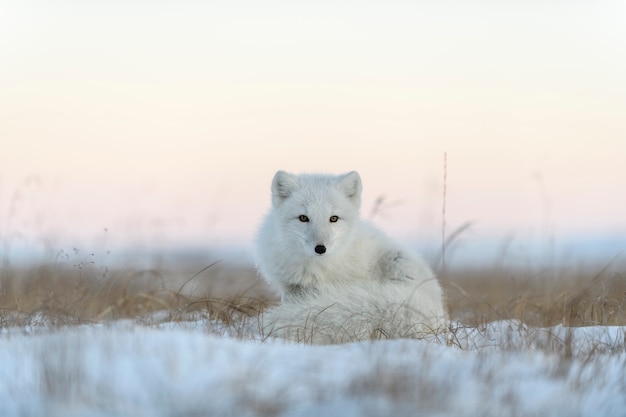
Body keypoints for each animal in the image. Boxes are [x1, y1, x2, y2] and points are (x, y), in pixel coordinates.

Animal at [255, 171, 448, 342]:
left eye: (333, 218)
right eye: (303, 218)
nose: (320, 248)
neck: (314, 270)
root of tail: (435, 305)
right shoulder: (290, 288)